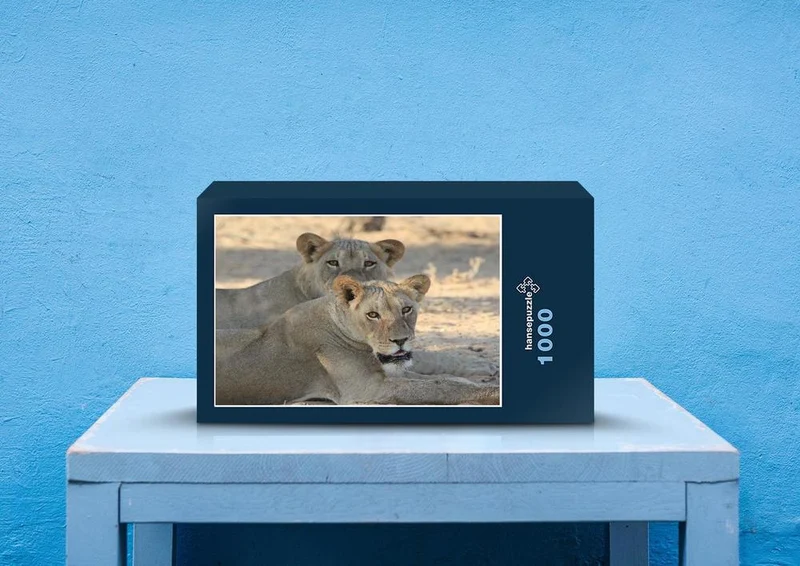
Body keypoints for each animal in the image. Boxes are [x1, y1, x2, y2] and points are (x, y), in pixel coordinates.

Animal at [216, 274, 499, 406]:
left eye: (407, 309)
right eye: (373, 314)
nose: (401, 341)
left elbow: (440, 379)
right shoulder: (367, 390)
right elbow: (438, 387)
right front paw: (490, 393)